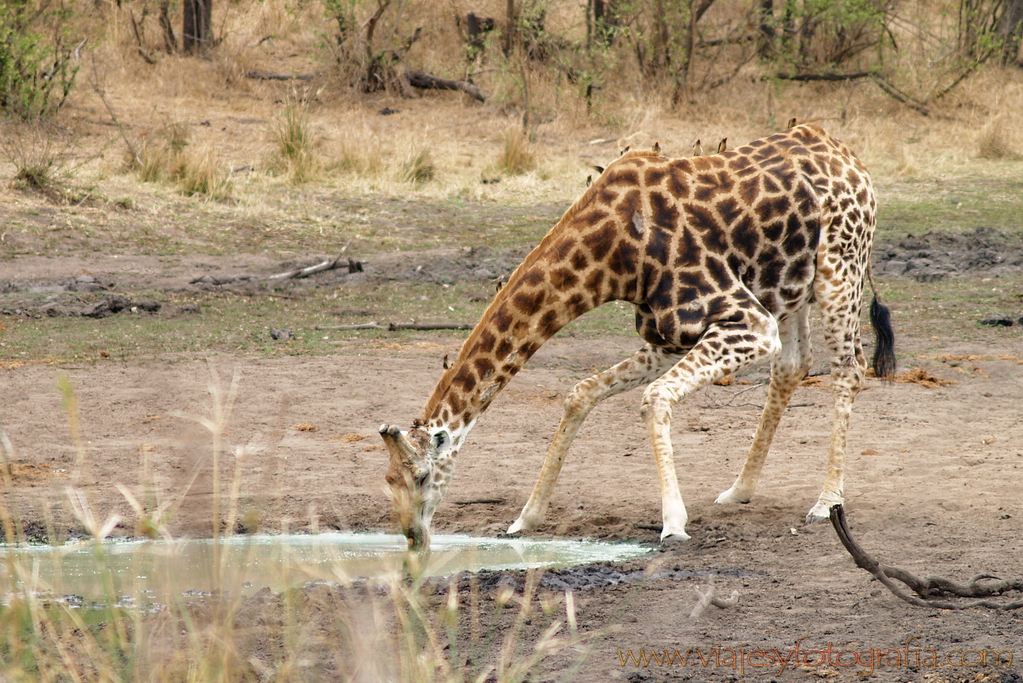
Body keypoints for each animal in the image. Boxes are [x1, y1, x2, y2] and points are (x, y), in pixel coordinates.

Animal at [380, 124, 896, 548]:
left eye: (421, 477)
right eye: (388, 480)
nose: (411, 534)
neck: (613, 256)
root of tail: (850, 157)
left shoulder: (747, 321)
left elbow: (655, 397)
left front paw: (673, 524)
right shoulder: (668, 335)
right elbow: (581, 392)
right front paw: (526, 518)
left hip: (840, 270)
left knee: (849, 368)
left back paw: (826, 502)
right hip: (787, 285)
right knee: (793, 365)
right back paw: (739, 490)